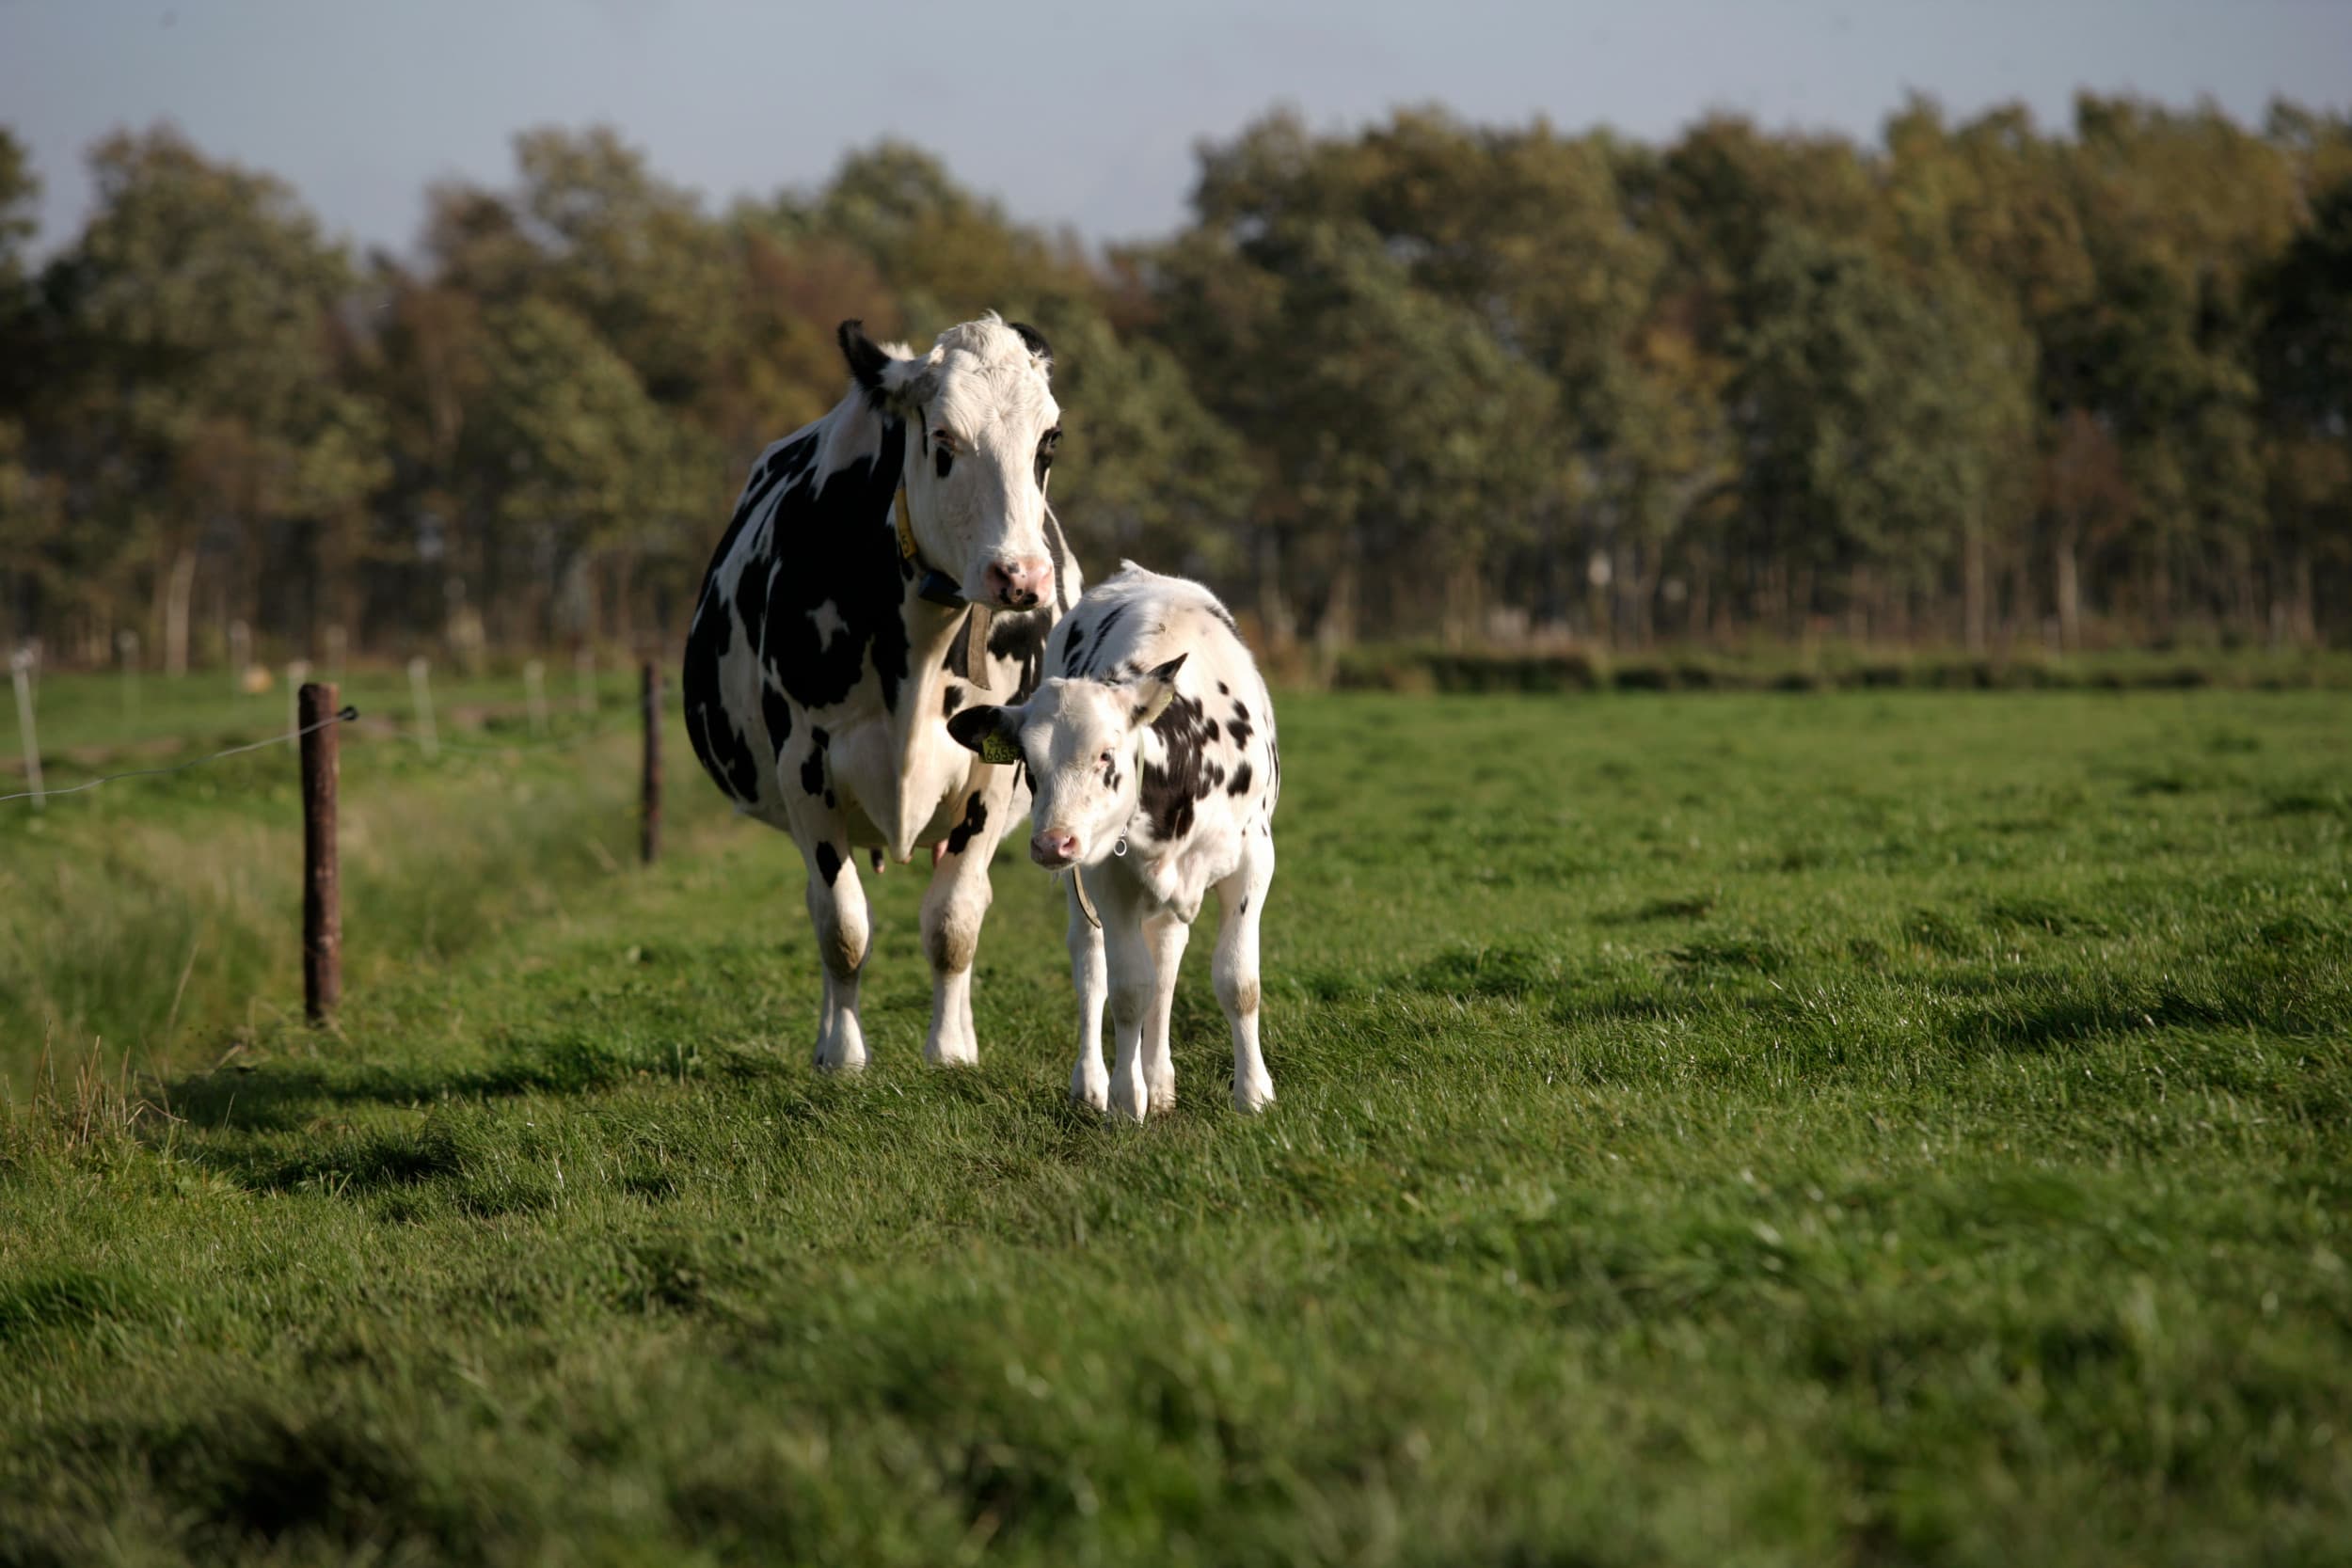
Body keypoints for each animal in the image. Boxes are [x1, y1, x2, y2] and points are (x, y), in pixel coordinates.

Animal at [682, 313, 1086, 1071]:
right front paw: (842, 1056)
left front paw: (950, 1050)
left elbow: (954, 921)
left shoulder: (990, 771)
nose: (1020, 577)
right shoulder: (805, 764)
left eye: (1049, 438)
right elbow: (841, 924)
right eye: (943, 439)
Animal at [946, 564, 1281, 1120]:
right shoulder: (1107, 875)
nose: (1051, 845)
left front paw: (1253, 1093)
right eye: (1028, 765)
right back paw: (1094, 1083)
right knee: (1092, 964)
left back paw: (1161, 1079)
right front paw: (1126, 1101)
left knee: (1166, 957)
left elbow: (1238, 983)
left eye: (1106, 754)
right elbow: (1127, 989)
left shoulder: (1253, 862)